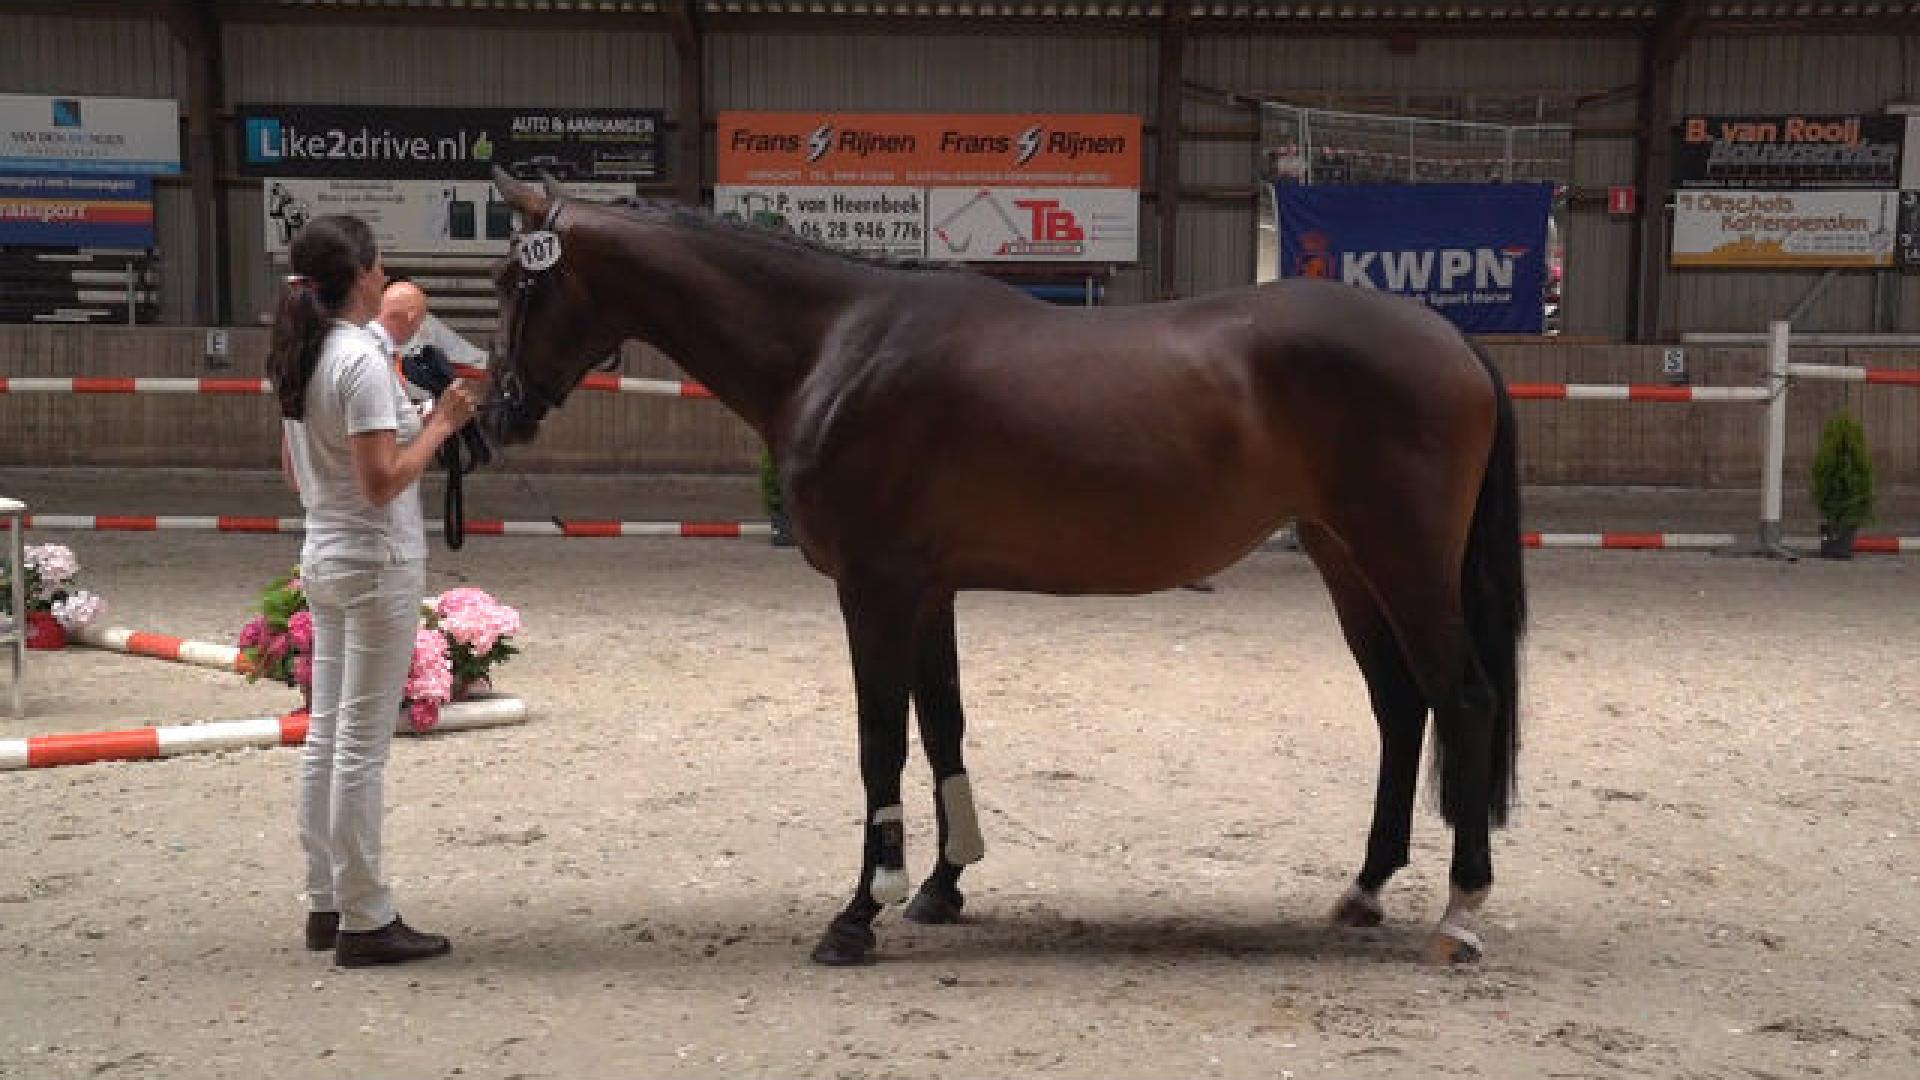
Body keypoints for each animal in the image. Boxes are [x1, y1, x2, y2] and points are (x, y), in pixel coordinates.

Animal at [482, 167, 1527, 967]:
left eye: (511, 283)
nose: (498, 414)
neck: (838, 342)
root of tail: (1450, 339)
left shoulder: (874, 588)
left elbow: (880, 742)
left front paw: (858, 913)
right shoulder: (928, 589)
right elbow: (943, 726)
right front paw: (941, 887)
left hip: (1401, 560)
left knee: (1463, 697)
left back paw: (1462, 912)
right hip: (1345, 559)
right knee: (1401, 705)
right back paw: (1364, 888)